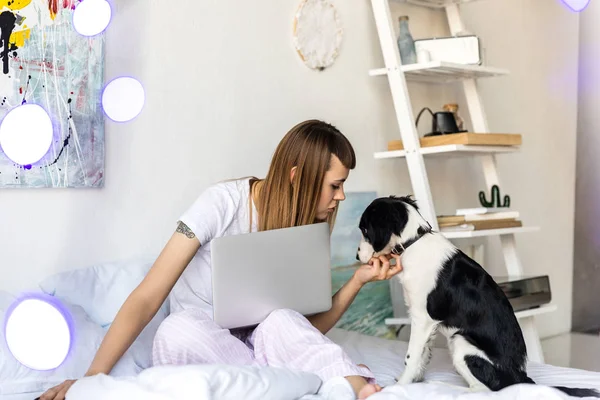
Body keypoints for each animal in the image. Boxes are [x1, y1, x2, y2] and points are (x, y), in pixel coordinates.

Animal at [358, 195, 596, 396]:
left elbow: (411, 356)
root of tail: (520, 377)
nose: (357, 256)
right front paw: (414, 380)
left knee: (483, 390)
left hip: (461, 342)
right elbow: (423, 355)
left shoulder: (422, 319)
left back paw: (441, 385)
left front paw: (400, 386)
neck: (414, 242)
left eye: (365, 230)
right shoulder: (427, 323)